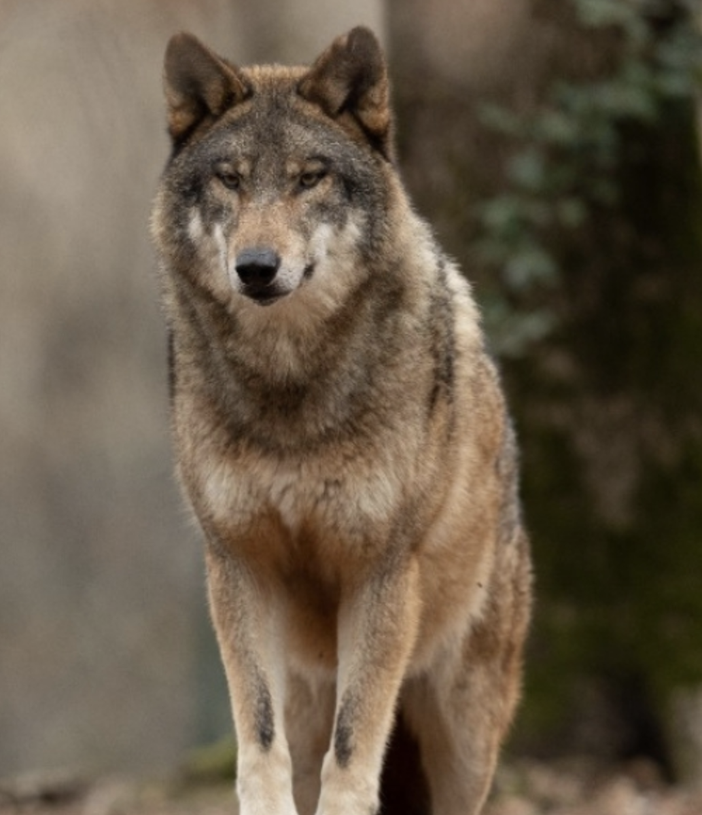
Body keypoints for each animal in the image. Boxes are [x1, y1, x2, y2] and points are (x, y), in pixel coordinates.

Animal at [151, 26, 531, 815]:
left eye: (309, 178)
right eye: (230, 180)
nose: (256, 267)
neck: (291, 389)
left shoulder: (380, 572)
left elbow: (354, 749)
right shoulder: (238, 564)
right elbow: (258, 742)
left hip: (463, 736)